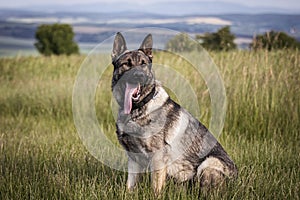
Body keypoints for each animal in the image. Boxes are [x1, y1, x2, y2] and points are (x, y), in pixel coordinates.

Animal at [110, 32, 237, 194]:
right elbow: (130, 185)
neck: (137, 109)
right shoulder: (133, 159)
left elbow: (156, 188)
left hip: (208, 163)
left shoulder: (157, 158)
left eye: (143, 64)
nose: (139, 75)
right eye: (127, 63)